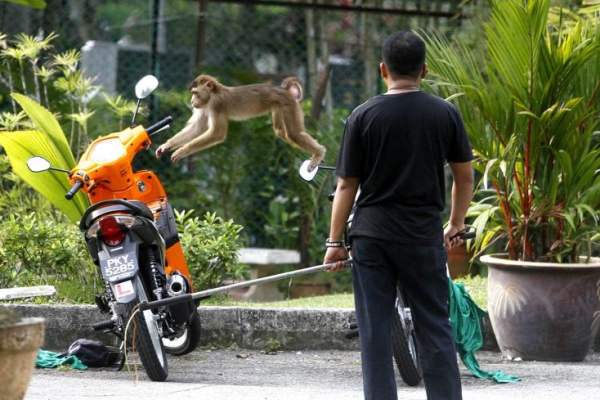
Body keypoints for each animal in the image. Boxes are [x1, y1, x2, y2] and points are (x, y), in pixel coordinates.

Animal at [155, 75, 326, 171]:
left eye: (195, 93)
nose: (191, 101)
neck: (213, 93)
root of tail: (282, 89)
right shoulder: (204, 106)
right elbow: (196, 128)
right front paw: (167, 145)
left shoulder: (216, 104)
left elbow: (217, 134)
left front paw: (183, 151)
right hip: (279, 105)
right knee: (282, 132)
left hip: (288, 104)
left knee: (293, 134)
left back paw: (319, 153)